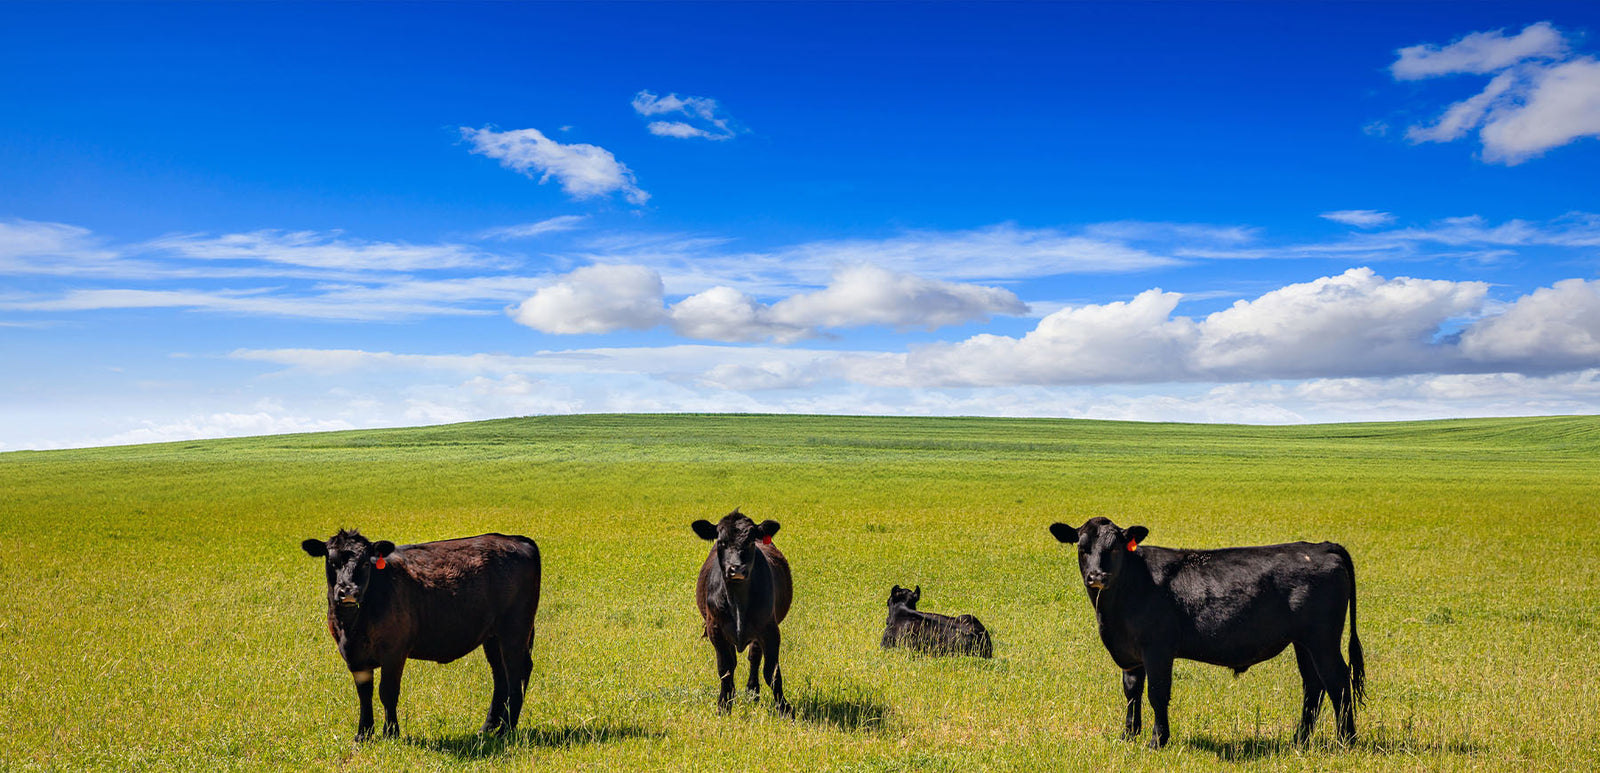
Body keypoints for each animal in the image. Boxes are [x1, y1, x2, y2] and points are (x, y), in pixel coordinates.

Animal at [300, 529, 541, 740]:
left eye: (366, 562)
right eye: (332, 561)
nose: (348, 591)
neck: (352, 627)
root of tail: (516, 539)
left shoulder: (394, 652)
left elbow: (387, 692)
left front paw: (391, 734)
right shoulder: (355, 657)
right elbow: (364, 695)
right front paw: (363, 735)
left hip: (515, 630)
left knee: (516, 675)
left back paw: (506, 730)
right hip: (493, 637)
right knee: (501, 677)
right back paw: (487, 728)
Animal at [692, 509, 793, 715]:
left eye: (750, 541)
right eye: (721, 542)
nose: (736, 569)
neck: (737, 601)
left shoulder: (770, 630)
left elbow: (772, 672)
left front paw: (784, 708)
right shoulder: (715, 629)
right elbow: (725, 669)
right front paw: (724, 705)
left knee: (754, 657)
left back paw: (752, 692)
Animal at [1048, 517, 1364, 749]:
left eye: (1114, 548)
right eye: (1082, 548)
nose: (1097, 576)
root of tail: (1321, 546)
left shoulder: (1157, 649)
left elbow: (1156, 693)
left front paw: (1157, 741)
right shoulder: (1130, 654)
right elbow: (1131, 691)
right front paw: (1129, 735)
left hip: (1323, 640)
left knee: (1338, 681)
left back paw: (1346, 740)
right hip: (1303, 642)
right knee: (1313, 685)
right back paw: (1300, 739)